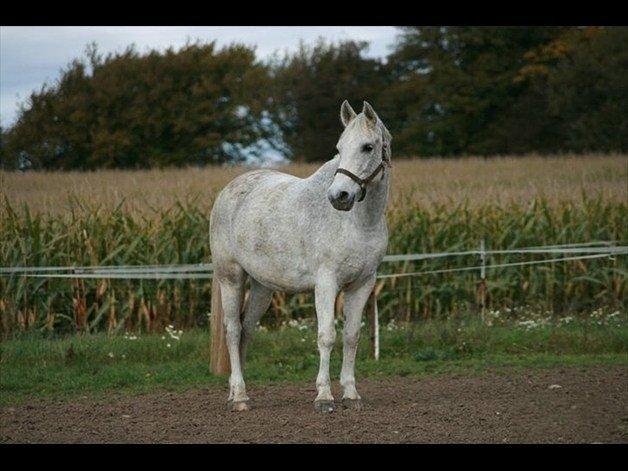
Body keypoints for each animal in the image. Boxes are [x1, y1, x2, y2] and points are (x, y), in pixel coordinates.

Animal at [209, 100, 390, 412]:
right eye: (340, 148)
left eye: (368, 147)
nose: (339, 196)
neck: (359, 222)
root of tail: (228, 191)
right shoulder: (326, 282)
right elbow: (327, 336)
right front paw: (324, 397)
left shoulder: (363, 283)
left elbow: (351, 336)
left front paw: (351, 394)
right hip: (230, 278)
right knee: (232, 330)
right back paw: (241, 398)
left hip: (262, 287)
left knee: (246, 330)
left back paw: (235, 392)